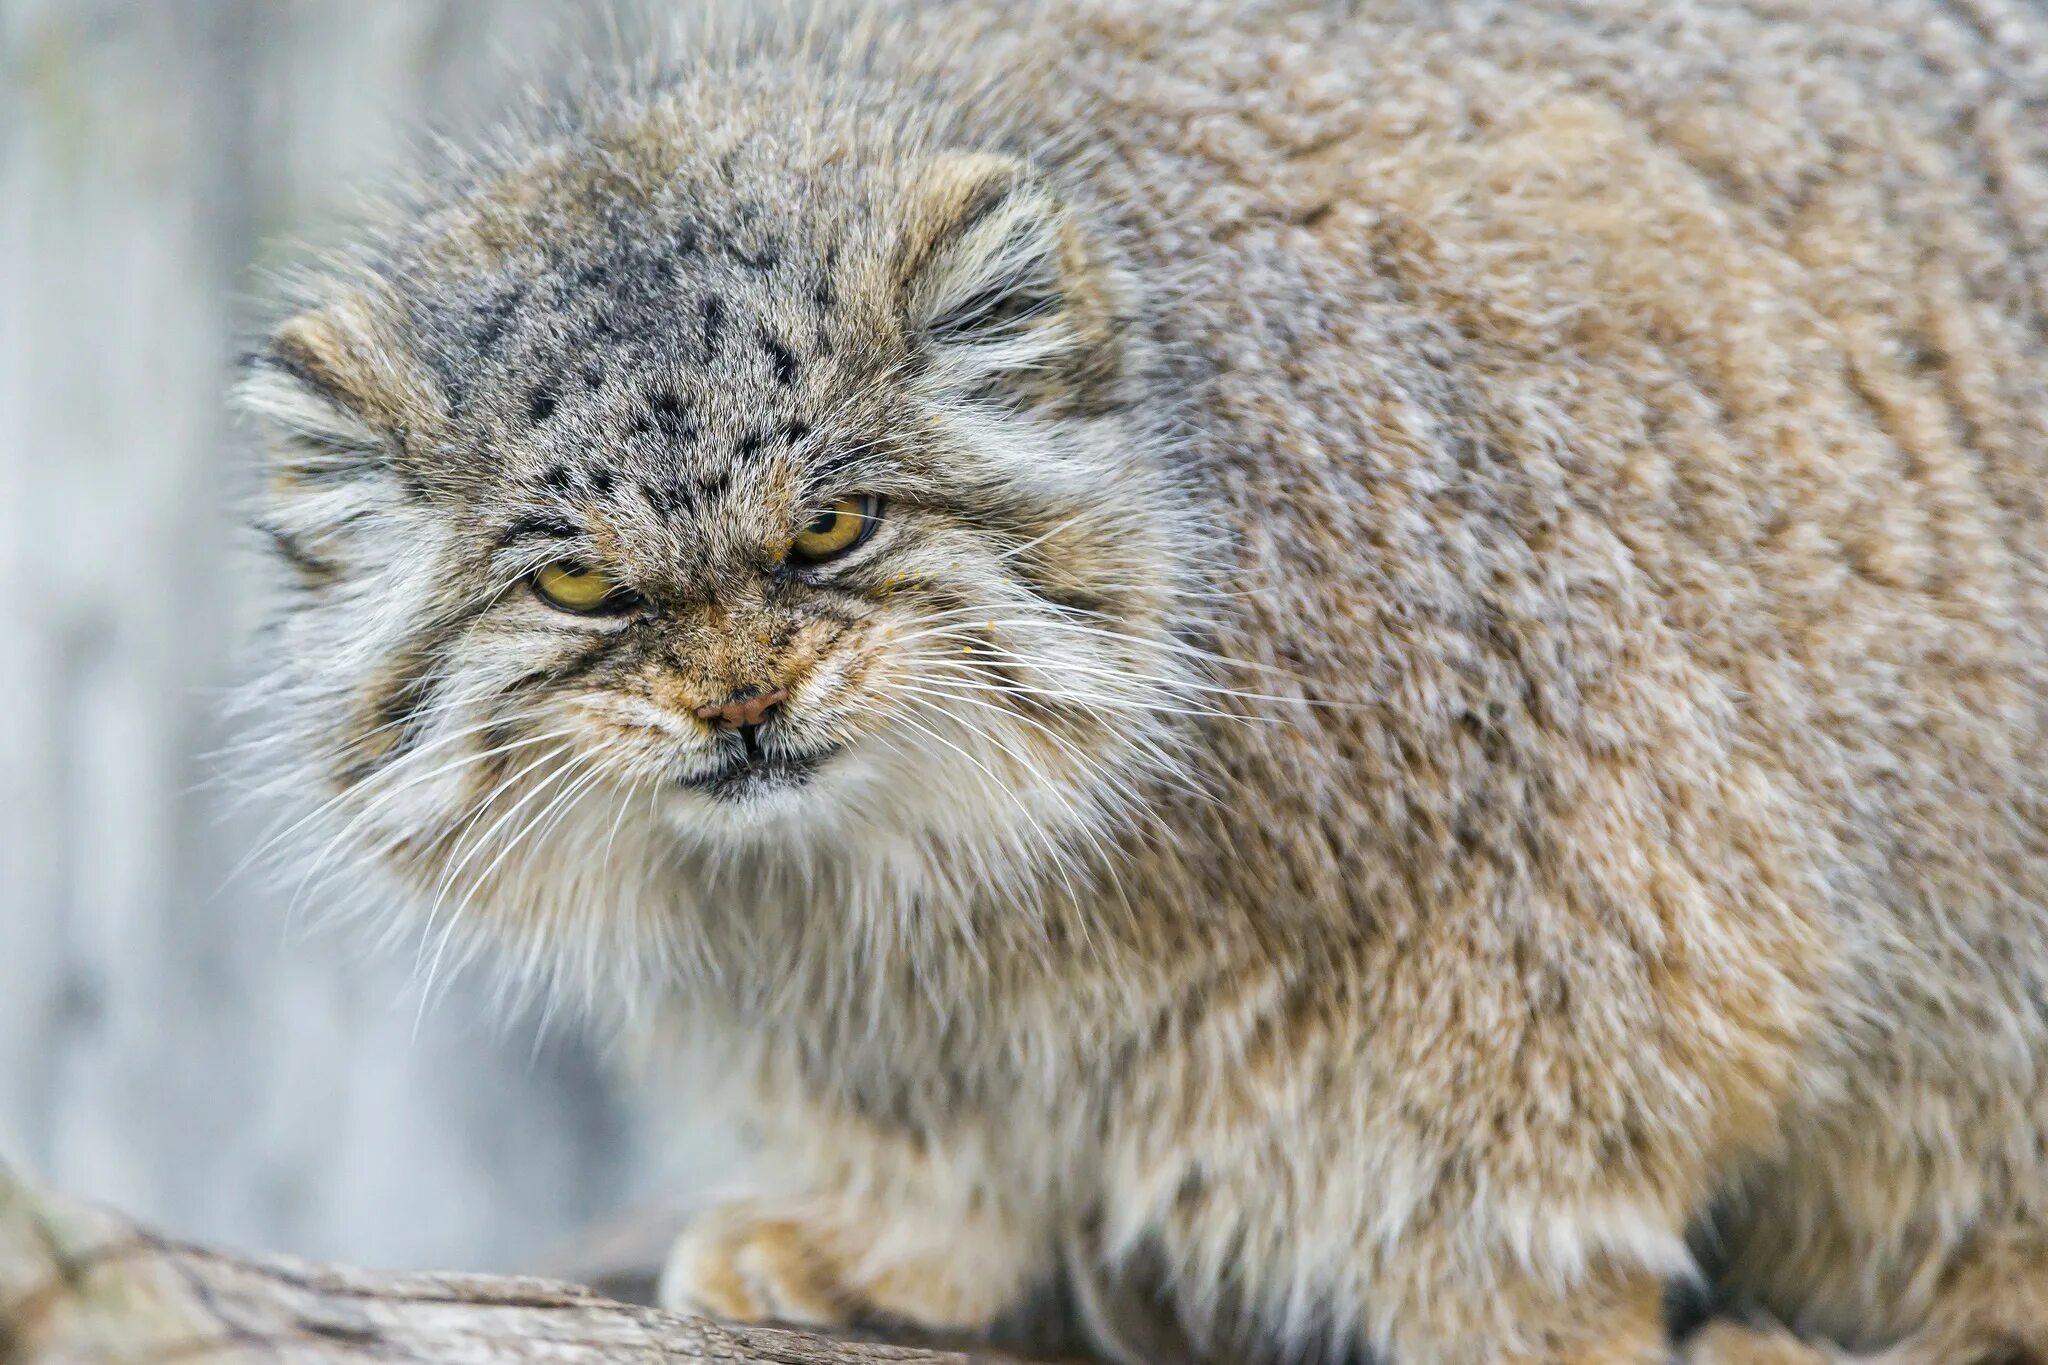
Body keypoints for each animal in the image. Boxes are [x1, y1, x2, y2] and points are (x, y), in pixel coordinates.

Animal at [239, 2, 2048, 1365]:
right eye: (578, 584)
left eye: (831, 527)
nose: (743, 705)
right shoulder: (865, 1019)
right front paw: (896, 1239)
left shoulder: (1589, 869)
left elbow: (1502, 1193)